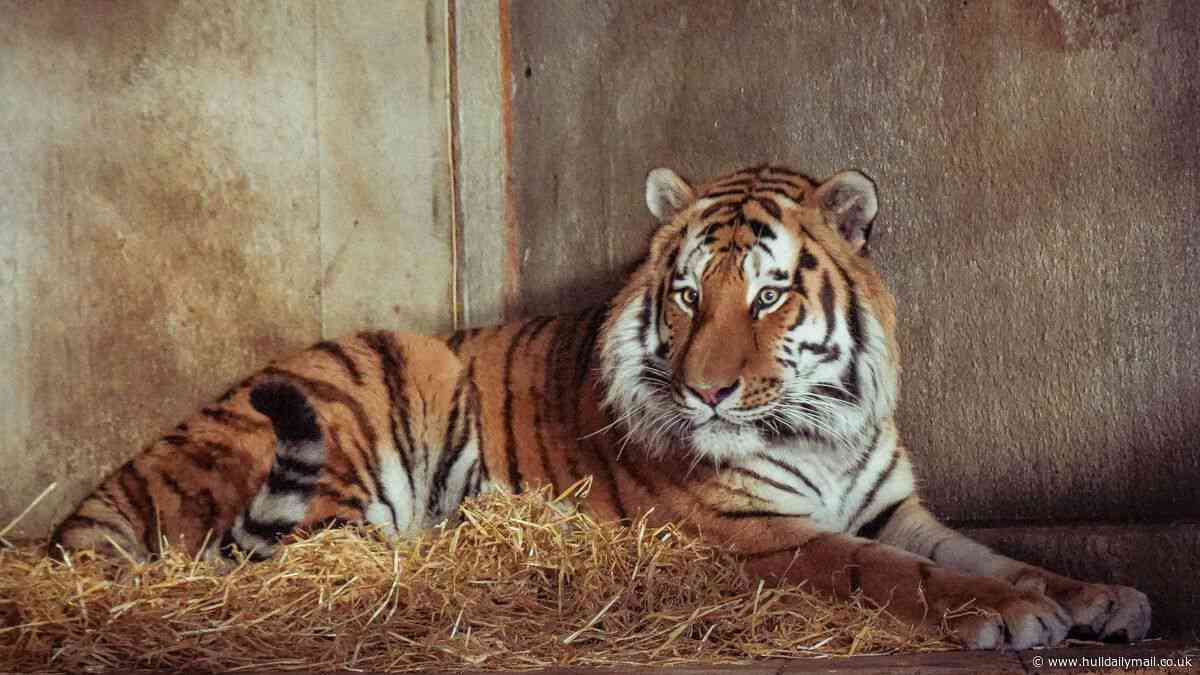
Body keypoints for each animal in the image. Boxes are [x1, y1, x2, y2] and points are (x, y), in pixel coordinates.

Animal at [51, 164, 1151, 650]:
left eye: (769, 296)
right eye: (687, 294)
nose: (707, 389)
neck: (822, 428)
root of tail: (120, 477)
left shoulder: (895, 507)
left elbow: (990, 553)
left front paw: (1097, 595)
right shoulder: (762, 534)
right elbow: (893, 574)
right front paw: (1014, 617)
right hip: (364, 408)